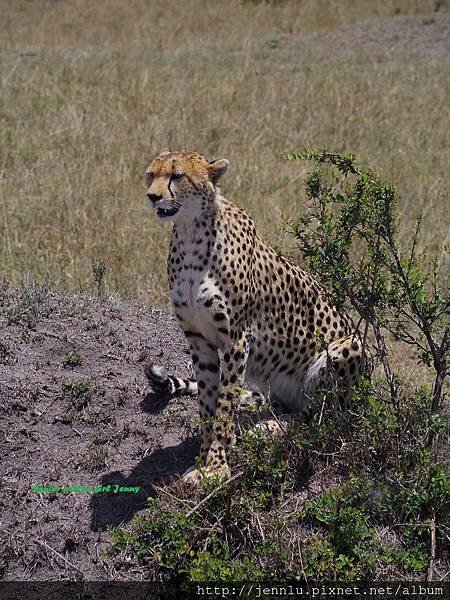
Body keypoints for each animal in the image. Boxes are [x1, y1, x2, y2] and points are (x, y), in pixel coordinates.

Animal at [146, 150, 370, 482]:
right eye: (151, 175)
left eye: (177, 176)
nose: (152, 196)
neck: (191, 232)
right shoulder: (199, 339)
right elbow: (208, 402)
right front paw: (202, 458)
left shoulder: (237, 337)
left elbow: (225, 403)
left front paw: (216, 466)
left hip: (352, 346)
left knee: (321, 421)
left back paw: (271, 428)